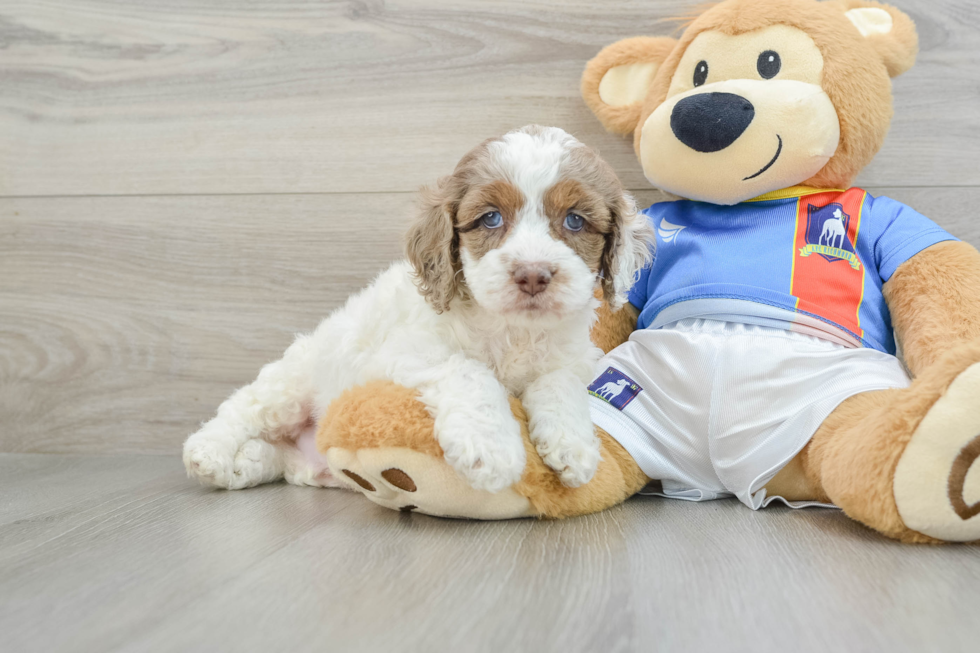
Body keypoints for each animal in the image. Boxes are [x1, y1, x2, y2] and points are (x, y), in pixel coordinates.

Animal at [186, 126, 660, 494]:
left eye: (575, 220)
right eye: (490, 218)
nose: (532, 274)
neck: (512, 330)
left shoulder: (575, 359)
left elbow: (560, 382)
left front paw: (573, 447)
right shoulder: (404, 353)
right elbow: (470, 371)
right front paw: (492, 449)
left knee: (282, 460)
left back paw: (249, 462)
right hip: (293, 383)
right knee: (245, 408)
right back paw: (209, 453)